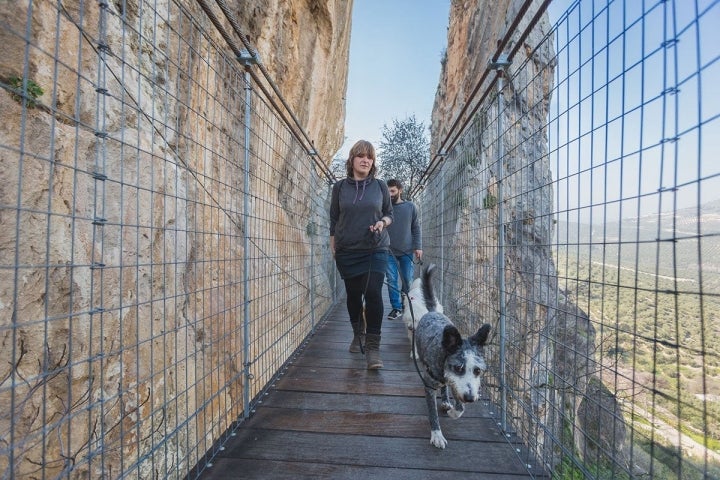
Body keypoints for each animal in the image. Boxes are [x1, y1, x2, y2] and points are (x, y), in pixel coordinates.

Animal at [414, 264, 492, 448]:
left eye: (478, 371)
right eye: (458, 367)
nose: (470, 398)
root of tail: (433, 311)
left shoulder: (459, 386)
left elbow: (460, 408)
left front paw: (453, 412)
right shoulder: (429, 386)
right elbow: (433, 414)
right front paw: (437, 435)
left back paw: (445, 400)